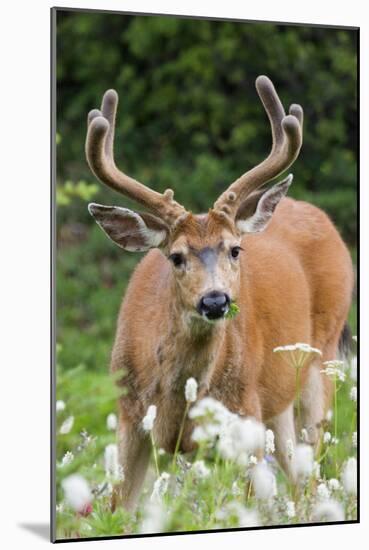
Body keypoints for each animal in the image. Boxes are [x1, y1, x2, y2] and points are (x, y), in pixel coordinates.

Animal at [85, 74, 352, 512]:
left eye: (235, 249)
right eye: (176, 256)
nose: (215, 300)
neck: (178, 404)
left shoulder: (245, 413)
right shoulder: (129, 417)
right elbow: (118, 509)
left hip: (319, 362)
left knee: (310, 480)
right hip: (277, 406)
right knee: (297, 476)